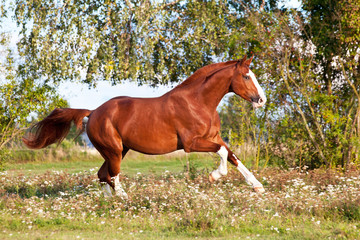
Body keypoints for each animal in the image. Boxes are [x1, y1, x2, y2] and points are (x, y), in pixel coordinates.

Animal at [21, 56, 264, 197]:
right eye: (246, 76)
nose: (261, 100)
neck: (198, 102)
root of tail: (93, 112)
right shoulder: (191, 143)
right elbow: (223, 153)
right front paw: (215, 176)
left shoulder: (214, 138)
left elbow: (232, 156)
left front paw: (257, 186)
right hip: (114, 151)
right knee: (112, 176)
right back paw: (125, 200)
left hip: (118, 151)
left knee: (103, 175)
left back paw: (109, 203)